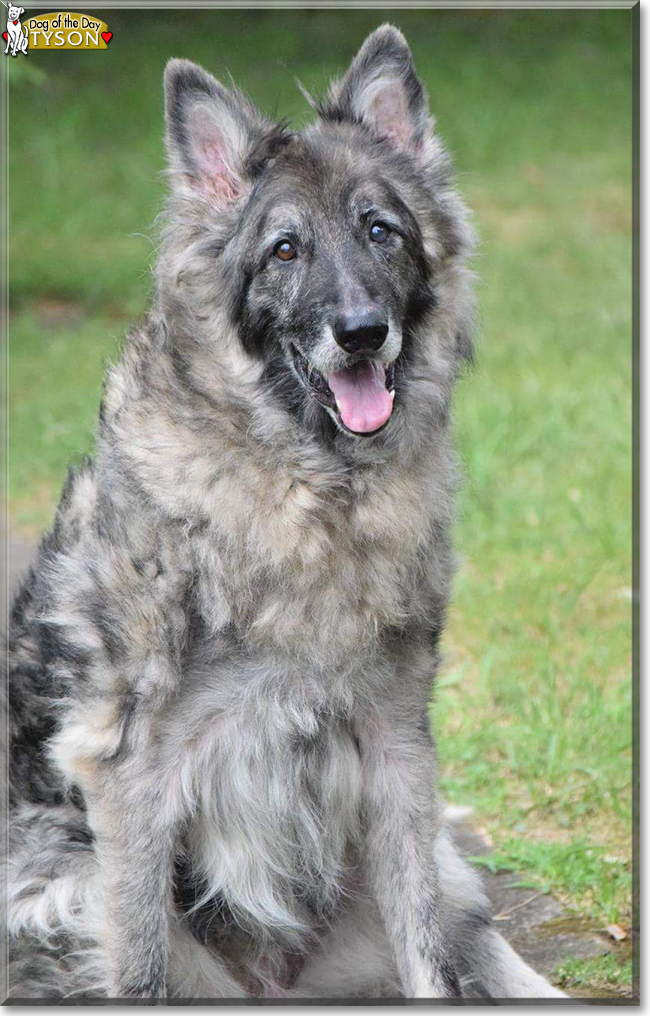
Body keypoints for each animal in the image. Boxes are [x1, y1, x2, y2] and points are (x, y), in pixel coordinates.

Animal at [5, 23, 564, 999]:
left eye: (381, 231)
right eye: (284, 251)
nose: (362, 332)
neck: (310, 488)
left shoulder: (397, 746)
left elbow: (430, 958)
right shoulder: (129, 772)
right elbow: (139, 965)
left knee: (469, 938)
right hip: (56, 889)